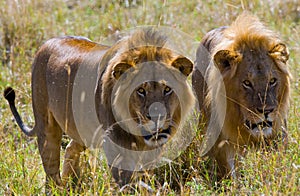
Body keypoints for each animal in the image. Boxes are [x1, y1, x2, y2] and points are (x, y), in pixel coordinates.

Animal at [5, 28, 197, 188]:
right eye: (141, 90)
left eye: (167, 89)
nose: (157, 117)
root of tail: (47, 42)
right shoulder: (114, 143)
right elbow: (125, 179)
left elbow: (144, 173)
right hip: (46, 124)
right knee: (50, 164)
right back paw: (57, 188)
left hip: (82, 129)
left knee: (70, 148)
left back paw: (69, 183)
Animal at [192, 12, 290, 178]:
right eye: (247, 83)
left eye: (272, 81)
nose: (266, 111)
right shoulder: (222, 142)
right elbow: (229, 172)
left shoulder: (278, 134)